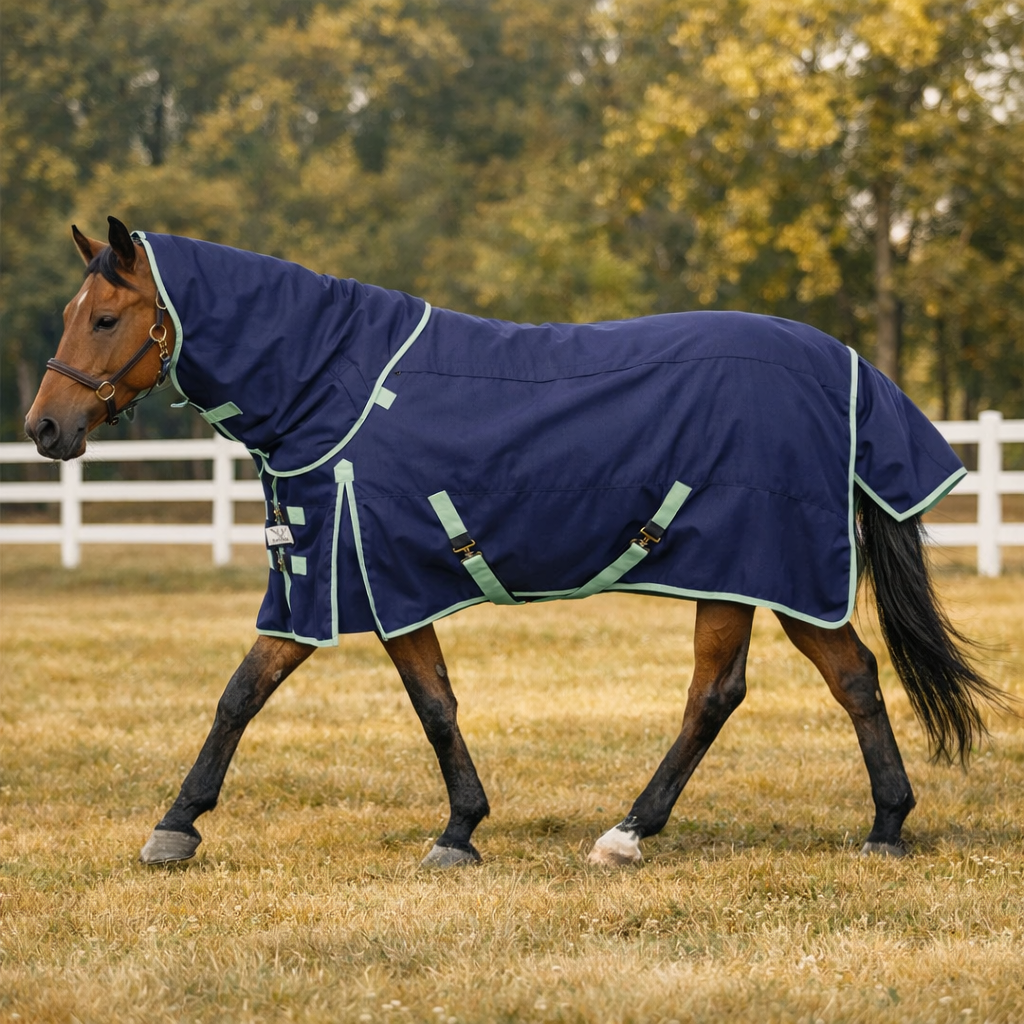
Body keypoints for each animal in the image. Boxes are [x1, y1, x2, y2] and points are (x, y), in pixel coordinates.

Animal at [25, 216, 1007, 869]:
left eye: (104, 319)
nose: (44, 428)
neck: (334, 389)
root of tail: (842, 363)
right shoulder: (334, 578)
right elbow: (257, 694)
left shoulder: (370, 578)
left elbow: (394, 706)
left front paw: (451, 832)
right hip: (757, 579)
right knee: (838, 680)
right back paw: (884, 825)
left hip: (763, 569)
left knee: (724, 695)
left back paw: (632, 834)